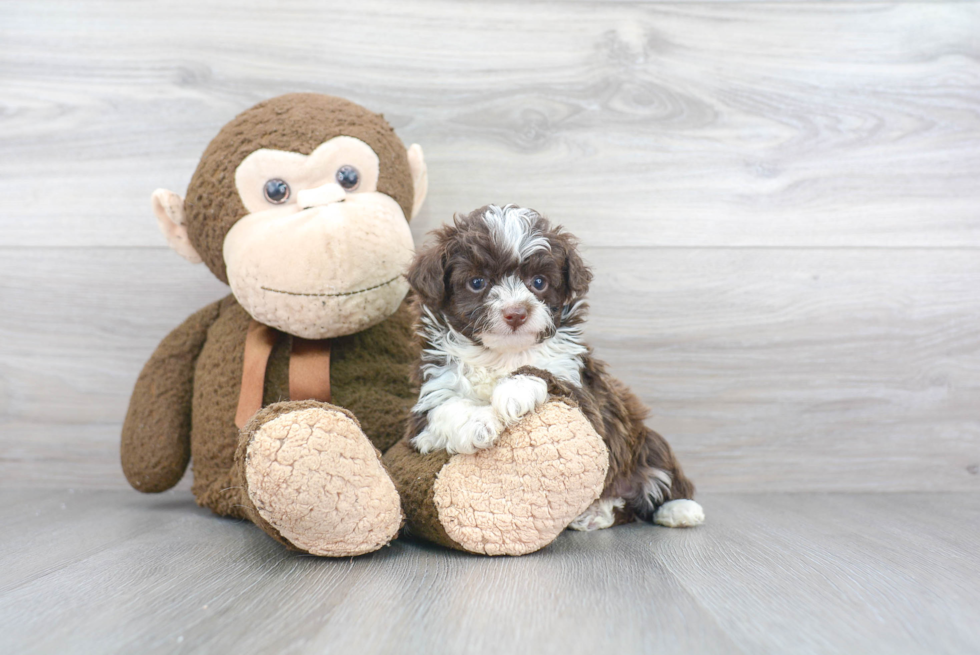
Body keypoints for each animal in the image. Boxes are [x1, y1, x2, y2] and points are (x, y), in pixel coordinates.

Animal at [406, 206, 704, 532]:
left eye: (539, 282)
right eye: (477, 282)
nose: (516, 313)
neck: (501, 355)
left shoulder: (586, 396)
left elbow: (546, 375)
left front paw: (513, 391)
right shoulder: (430, 393)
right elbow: (444, 409)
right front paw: (478, 423)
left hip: (646, 440)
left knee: (661, 473)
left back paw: (679, 509)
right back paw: (597, 512)